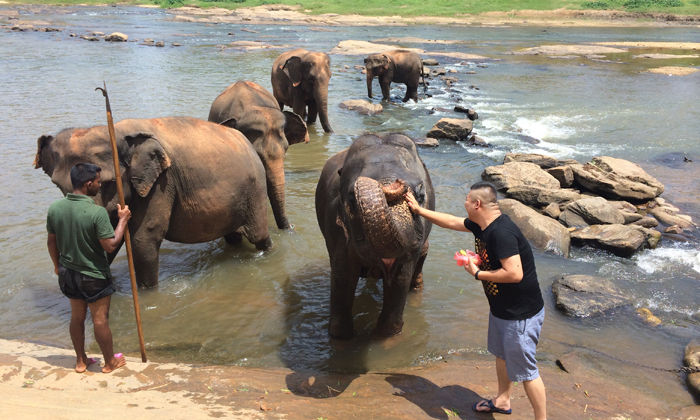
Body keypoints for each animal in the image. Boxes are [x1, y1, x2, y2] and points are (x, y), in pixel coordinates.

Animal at [34, 118, 272, 288]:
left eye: (108, 183)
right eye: (57, 185)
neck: (117, 131)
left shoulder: (161, 182)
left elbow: (144, 237)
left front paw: (148, 293)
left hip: (255, 189)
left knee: (259, 236)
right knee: (233, 237)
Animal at [316, 132, 434, 338]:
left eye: (421, 194)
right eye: (351, 199)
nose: (397, 183)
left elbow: (401, 276)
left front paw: (386, 335)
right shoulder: (335, 226)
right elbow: (343, 273)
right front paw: (342, 337)